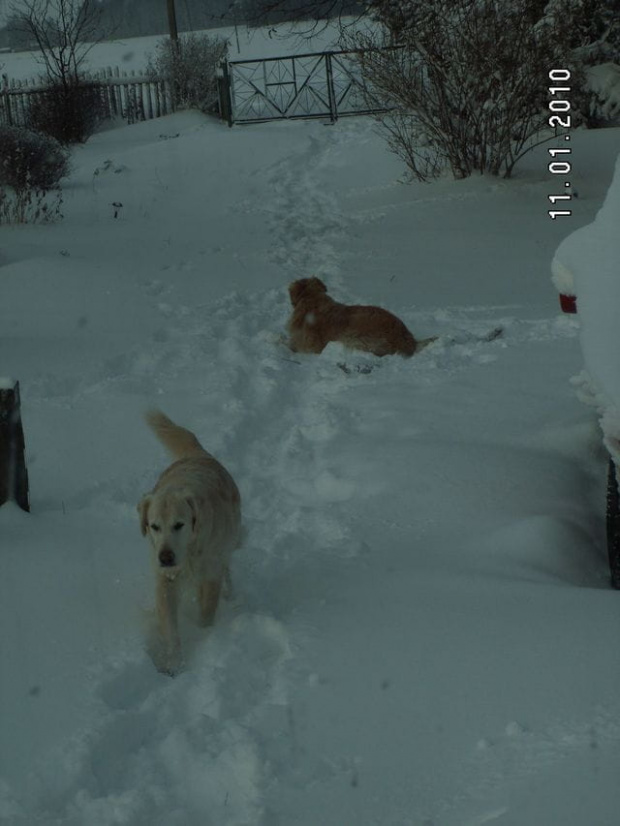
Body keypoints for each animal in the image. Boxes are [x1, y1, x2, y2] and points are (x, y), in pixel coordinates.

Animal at [138, 408, 242, 672]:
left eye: (179, 524)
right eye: (154, 526)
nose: (165, 557)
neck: (191, 550)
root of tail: (198, 453)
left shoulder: (211, 572)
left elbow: (206, 612)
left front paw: (205, 637)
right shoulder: (165, 581)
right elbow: (171, 629)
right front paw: (173, 663)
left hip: (228, 543)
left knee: (227, 568)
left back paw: (230, 592)